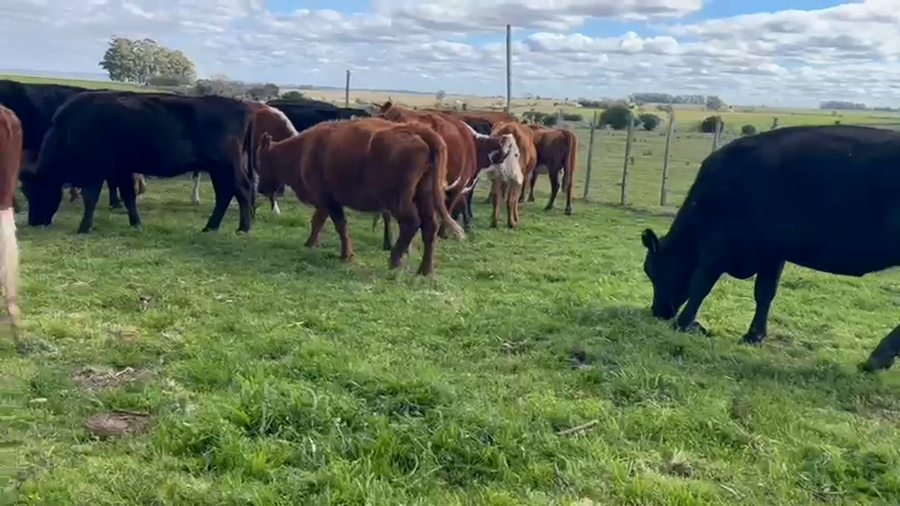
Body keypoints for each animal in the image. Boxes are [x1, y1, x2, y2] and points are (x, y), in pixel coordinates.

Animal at [18, 91, 257, 234]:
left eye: (34, 190)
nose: (34, 222)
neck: (70, 128)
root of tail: (238, 106)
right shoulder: (121, 169)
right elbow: (128, 196)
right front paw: (136, 223)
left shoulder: (96, 170)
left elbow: (90, 198)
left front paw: (84, 228)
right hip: (218, 169)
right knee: (226, 194)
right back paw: (211, 227)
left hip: (227, 166)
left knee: (242, 190)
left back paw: (242, 228)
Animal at [255, 117, 465, 275]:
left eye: (259, 161)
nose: (260, 188)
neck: (302, 150)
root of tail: (420, 131)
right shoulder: (325, 201)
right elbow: (318, 222)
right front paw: (310, 243)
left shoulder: (328, 199)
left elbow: (339, 225)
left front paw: (345, 254)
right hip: (425, 196)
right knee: (430, 227)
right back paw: (425, 270)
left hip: (399, 201)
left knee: (411, 224)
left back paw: (394, 261)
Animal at [639, 124, 900, 373]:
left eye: (652, 271)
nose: (658, 311)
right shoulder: (771, 251)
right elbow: (764, 293)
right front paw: (754, 336)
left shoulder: (718, 243)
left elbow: (701, 284)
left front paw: (684, 323)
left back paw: (878, 358)